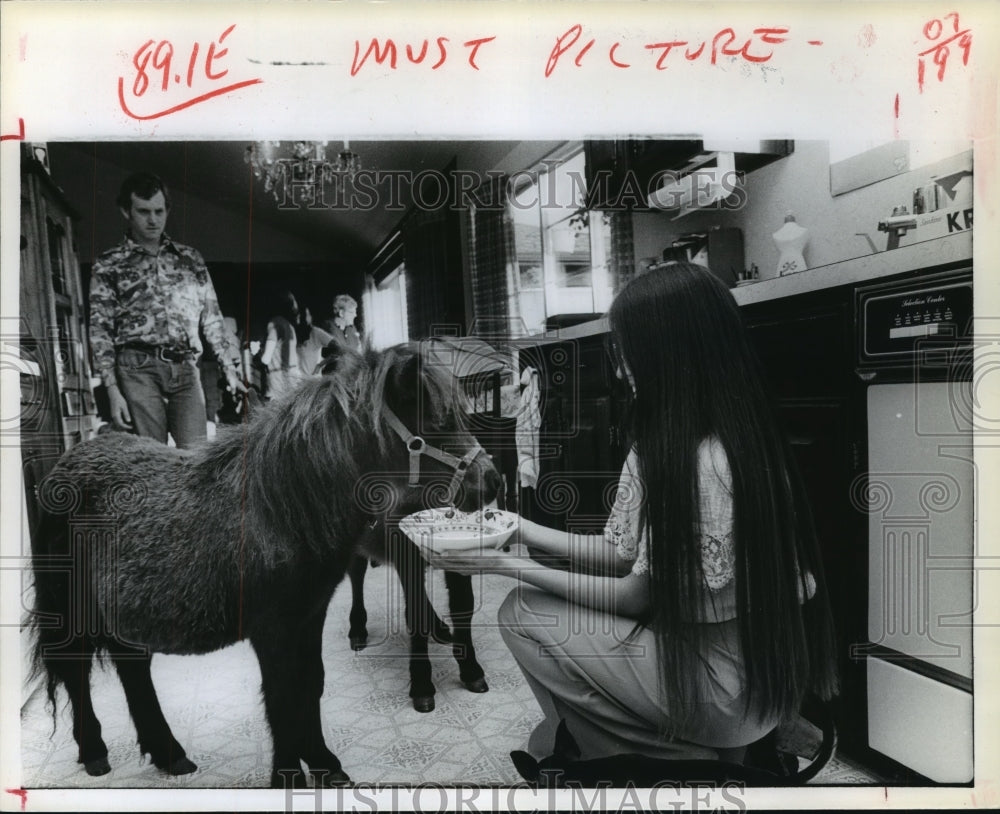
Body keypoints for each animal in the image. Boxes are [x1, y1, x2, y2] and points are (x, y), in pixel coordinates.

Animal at [31, 344, 500, 792]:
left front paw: (323, 764)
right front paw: (289, 775)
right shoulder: (272, 627)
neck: (279, 508)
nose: (492, 480)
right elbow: (281, 698)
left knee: (132, 669)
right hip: (70, 608)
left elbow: (310, 684)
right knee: (75, 672)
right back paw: (95, 753)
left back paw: (170, 755)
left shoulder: (309, 615)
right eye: (437, 421)